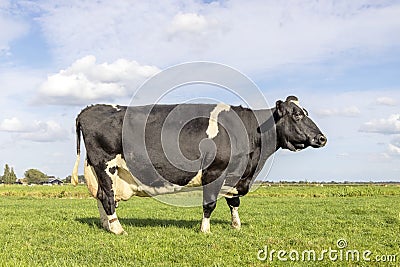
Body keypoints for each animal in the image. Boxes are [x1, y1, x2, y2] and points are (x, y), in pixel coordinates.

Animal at [73, 96, 326, 234]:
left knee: (102, 197)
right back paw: (118, 229)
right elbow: (210, 204)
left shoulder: (235, 176)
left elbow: (234, 202)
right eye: (297, 115)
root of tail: (89, 109)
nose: (322, 138)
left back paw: (107, 226)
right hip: (105, 165)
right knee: (107, 198)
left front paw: (236, 226)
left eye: (304, 113)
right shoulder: (215, 171)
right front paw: (205, 230)